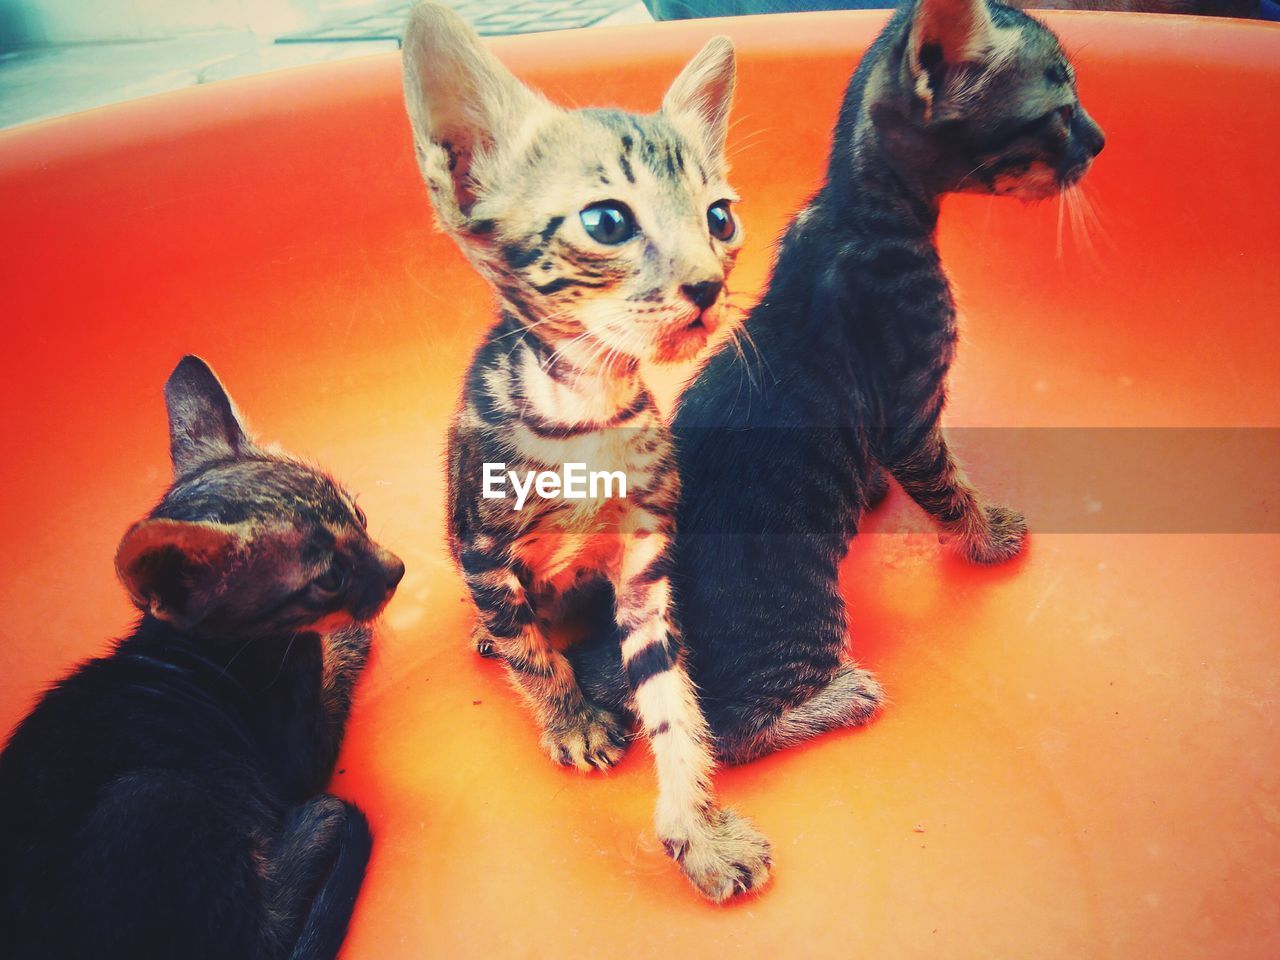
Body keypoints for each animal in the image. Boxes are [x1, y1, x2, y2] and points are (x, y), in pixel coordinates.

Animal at [0, 358, 404, 960]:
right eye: (329, 579)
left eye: (359, 514)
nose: (397, 568)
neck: (193, 646)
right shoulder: (295, 753)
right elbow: (329, 665)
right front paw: (351, 632)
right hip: (153, 795)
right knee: (266, 933)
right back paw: (313, 823)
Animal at [399, 1, 768, 901]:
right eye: (607, 222)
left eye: (720, 218)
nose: (709, 285)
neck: (584, 416)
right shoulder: (482, 547)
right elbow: (533, 655)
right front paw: (569, 718)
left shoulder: (643, 567)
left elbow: (671, 700)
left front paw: (696, 829)